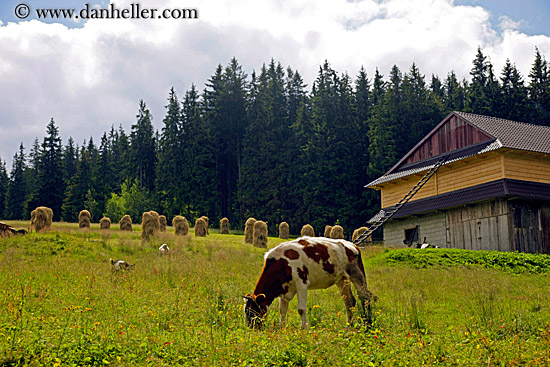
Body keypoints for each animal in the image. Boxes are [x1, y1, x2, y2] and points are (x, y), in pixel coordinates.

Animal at [247, 237, 380, 330]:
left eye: (252, 311)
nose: (251, 328)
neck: (281, 263)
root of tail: (353, 245)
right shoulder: (284, 288)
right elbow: (282, 310)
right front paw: (282, 328)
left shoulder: (302, 283)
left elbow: (301, 309)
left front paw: (303, 328)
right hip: (342, 279)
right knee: (349, 301)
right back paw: (349, 326)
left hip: (357, 275)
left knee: (365, 297)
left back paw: (368, 324)